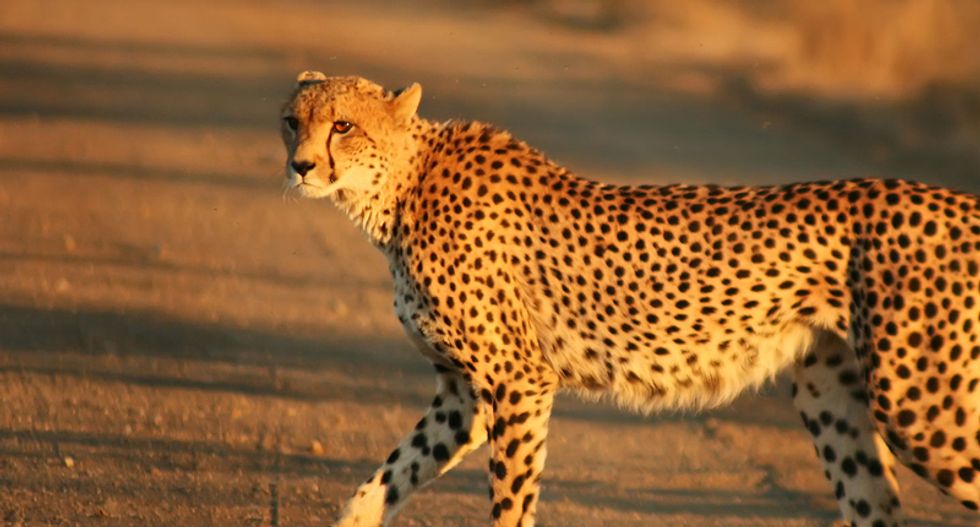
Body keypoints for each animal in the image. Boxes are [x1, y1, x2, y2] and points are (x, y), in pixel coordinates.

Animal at [279, 71, 980, 527]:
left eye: (343, 125)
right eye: (292, 121)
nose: (302, 166)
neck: (399, 189)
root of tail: (957, 201)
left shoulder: (519, 381)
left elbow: (510, 502)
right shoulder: (464, 395)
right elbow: (384, 481)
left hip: (922, 409)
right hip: (832, 395)